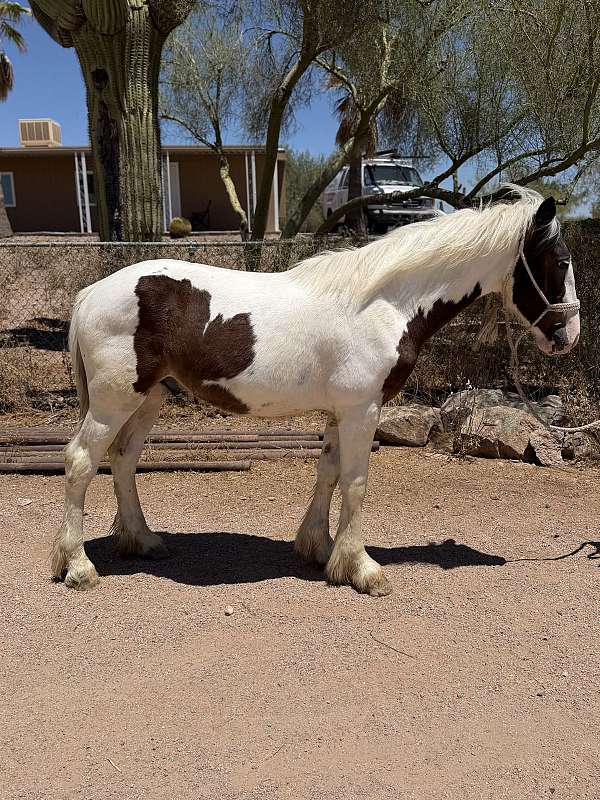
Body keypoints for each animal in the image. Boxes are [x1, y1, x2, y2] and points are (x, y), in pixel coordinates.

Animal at [51, 186, 580, 597]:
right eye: (561, 261)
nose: (568, 336)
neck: (385, 304)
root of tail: (92, 293)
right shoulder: (363, 410)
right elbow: (356, 482)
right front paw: (363, 569)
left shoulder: (339, 412)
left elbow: (327, 473)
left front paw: (320, 549)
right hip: (115, 400)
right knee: (81, 460)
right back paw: (77, 565)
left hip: (150, 397)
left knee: (123, 459)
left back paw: (143, 541)